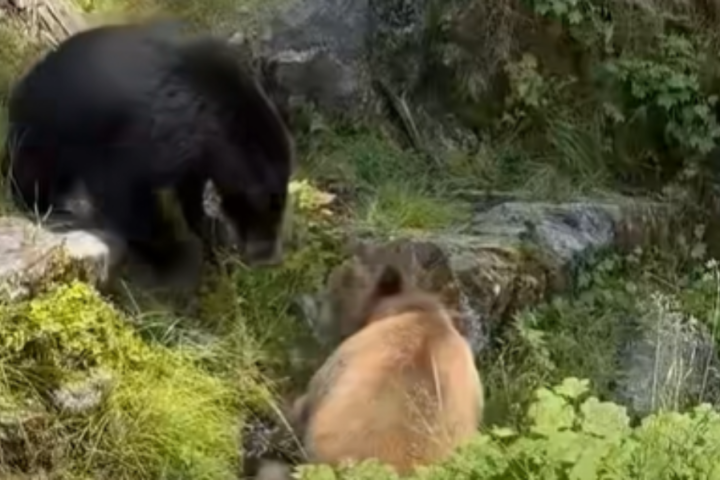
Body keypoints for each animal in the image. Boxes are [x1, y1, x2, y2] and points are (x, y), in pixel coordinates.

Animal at [2, 20, 294, 273]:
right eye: (267, 203)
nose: (270, 257)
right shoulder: (150, 138)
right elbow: (123, 186)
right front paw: (170, 250)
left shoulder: (194, 158)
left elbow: (190, 189)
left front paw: (207, 228)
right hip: (46, 132)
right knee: (33, 171)